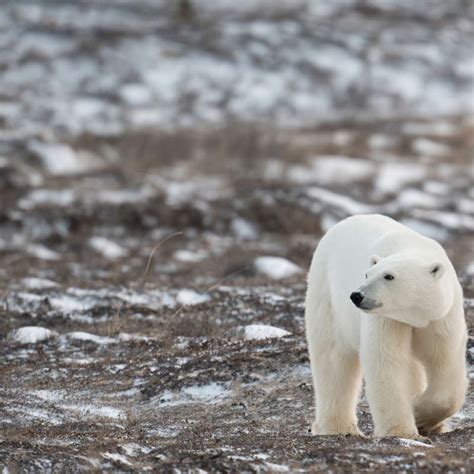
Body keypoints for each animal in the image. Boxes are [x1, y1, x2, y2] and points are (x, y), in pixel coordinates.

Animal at [306, 215, 468, 440]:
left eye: (389, 276)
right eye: (367, 274)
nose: (356, 295)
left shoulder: (441, 316)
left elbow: (444, 359)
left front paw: (420, 415)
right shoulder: (387, 318)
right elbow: (385, 359)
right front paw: (404, 429)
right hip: (327, 294)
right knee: (332, 358)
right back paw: (339, 428)